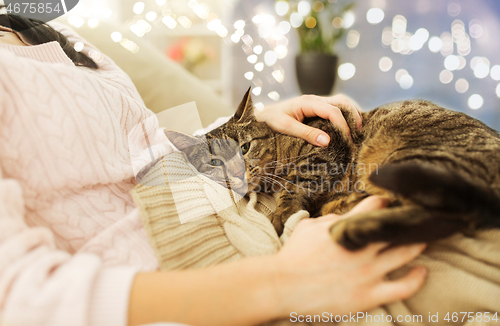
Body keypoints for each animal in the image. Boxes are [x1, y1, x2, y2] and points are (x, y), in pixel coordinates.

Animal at [165, 87, 500, 250]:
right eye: (214, 163)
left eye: (244, 148)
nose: (235, 173)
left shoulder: (325, 145)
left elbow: (294, 185)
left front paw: (282, 216)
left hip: (410, 158)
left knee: (453, 214)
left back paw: (352, 223)